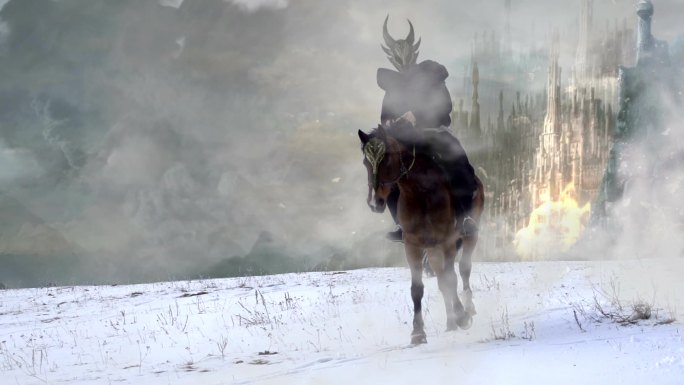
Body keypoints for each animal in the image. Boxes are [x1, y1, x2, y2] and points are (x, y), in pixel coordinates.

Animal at [358, 121, 486, 344]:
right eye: (366, 162)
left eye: (386, 159)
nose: (375, 203)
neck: (421, 192)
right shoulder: (413, 246)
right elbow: (417, 289)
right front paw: (418, 333)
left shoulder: (447, 242)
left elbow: (451, 278)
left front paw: (462, 316)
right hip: (432, 249)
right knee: (442, 278)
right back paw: (450, 322)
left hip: (469, 235)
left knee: (463, 269)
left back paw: (468, 309)